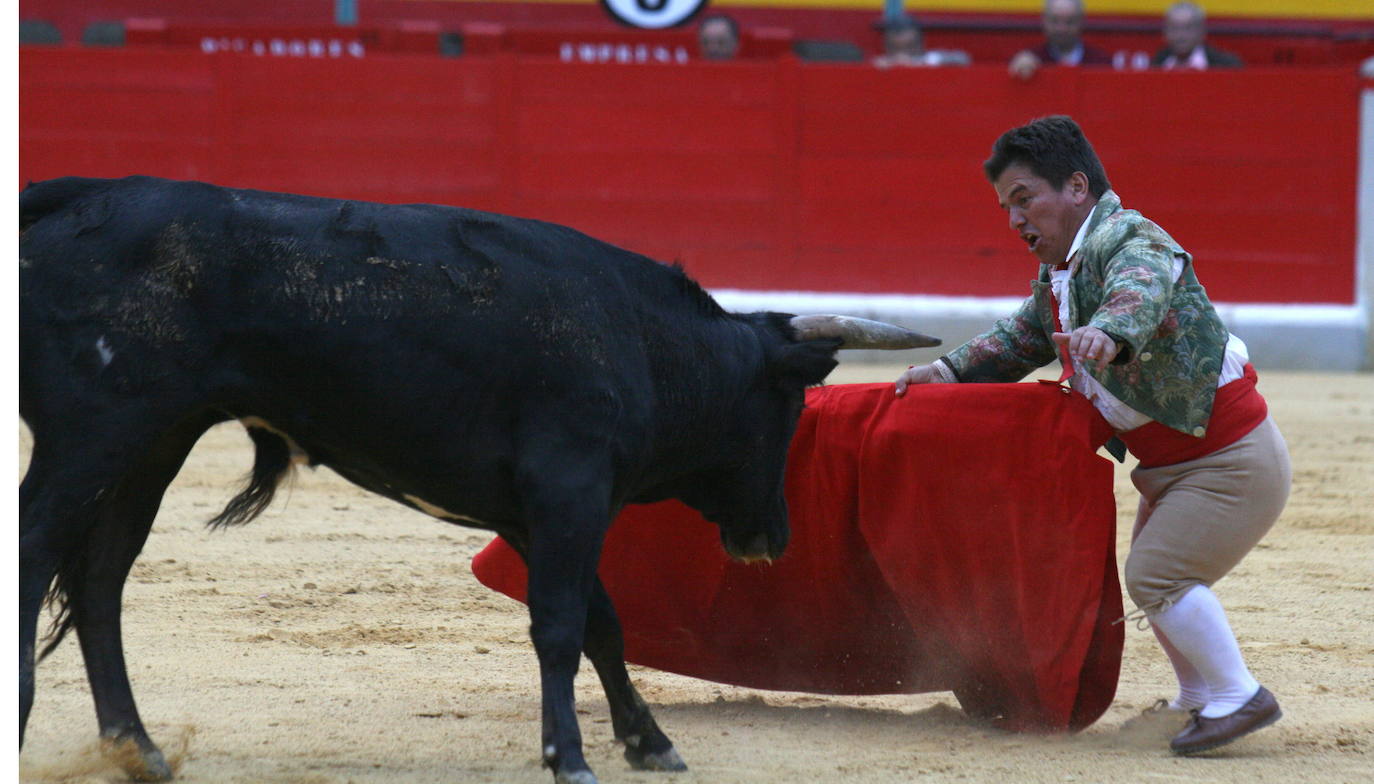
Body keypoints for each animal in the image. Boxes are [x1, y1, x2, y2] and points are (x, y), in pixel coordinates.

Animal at [21, 175, 939, 784]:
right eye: (789, 409)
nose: (769, 538)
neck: (644, 341)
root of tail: (69, 200)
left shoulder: (543, 512)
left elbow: (601, 621)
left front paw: (649, 743)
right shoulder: (570, 492)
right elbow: (560, 627)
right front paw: (569, 758)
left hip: (152, 445)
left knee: (99, 582)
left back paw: (138, 748)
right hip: (90, 439)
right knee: (36, 557)